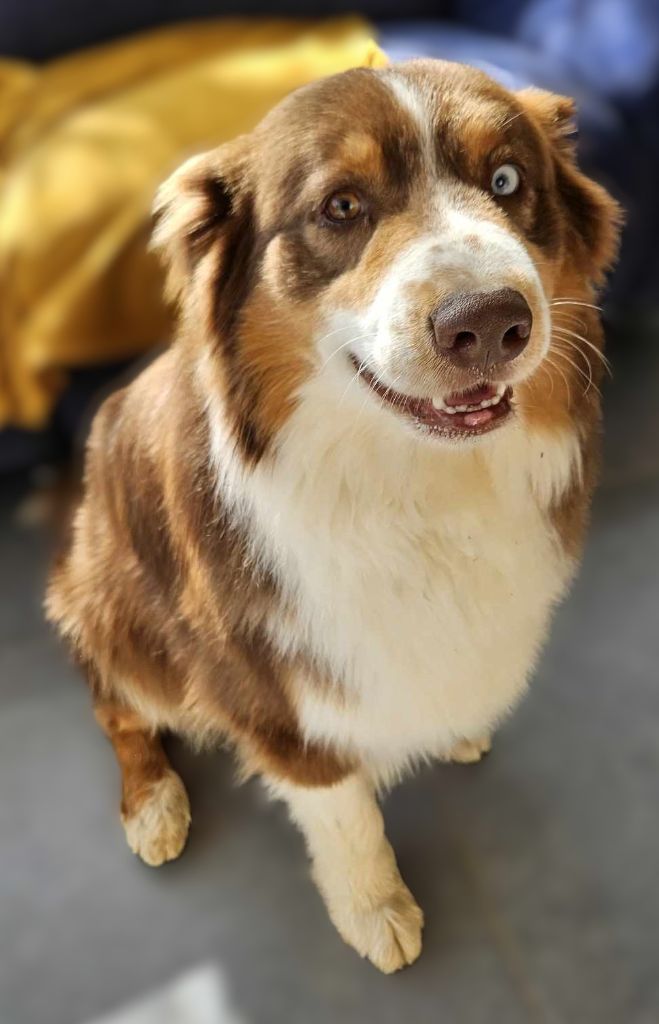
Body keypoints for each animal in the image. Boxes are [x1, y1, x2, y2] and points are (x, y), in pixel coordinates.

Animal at [46, 59, 618, 970]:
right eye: (341, 206)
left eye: (505, 180)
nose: (489, 322)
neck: (411, 484)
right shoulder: (270, 691)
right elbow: (345, 814)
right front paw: (374, 908)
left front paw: (451, 722)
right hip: (117, 614)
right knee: (114, 707)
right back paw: (155, 806)